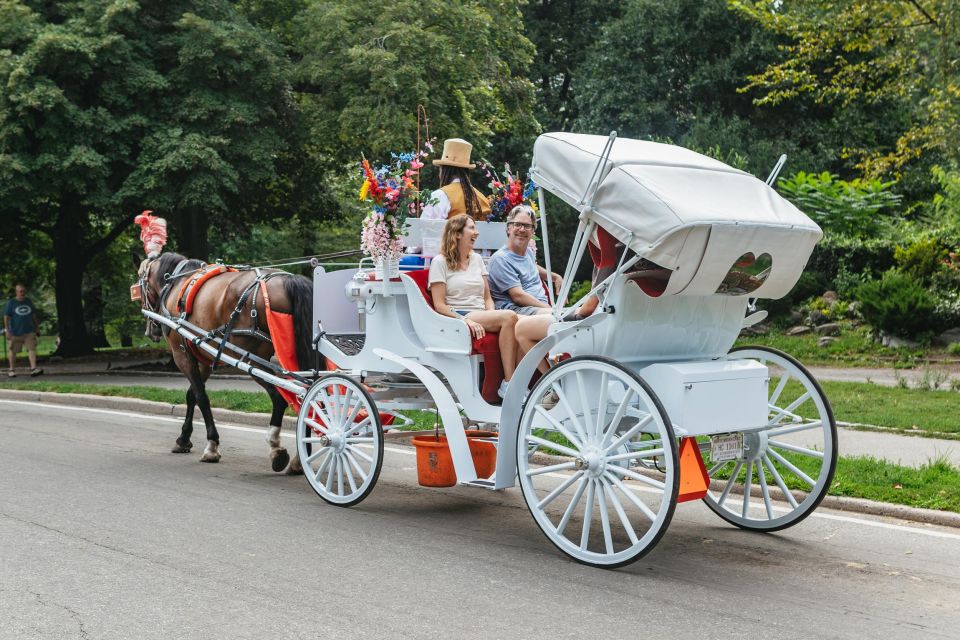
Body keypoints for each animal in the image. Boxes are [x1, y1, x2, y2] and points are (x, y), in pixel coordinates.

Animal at [133, 252, 316, 472]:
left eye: (140, 285)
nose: (150, 332)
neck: (177, 281)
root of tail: (288, 280)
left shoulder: (182, 355)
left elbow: (201, 397)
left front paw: (211, 446)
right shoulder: (203, 357)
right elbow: (191, 395)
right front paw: (184, 439)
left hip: (251, 358)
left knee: (281, 397)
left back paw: (277, 449)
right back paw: (300, 457)